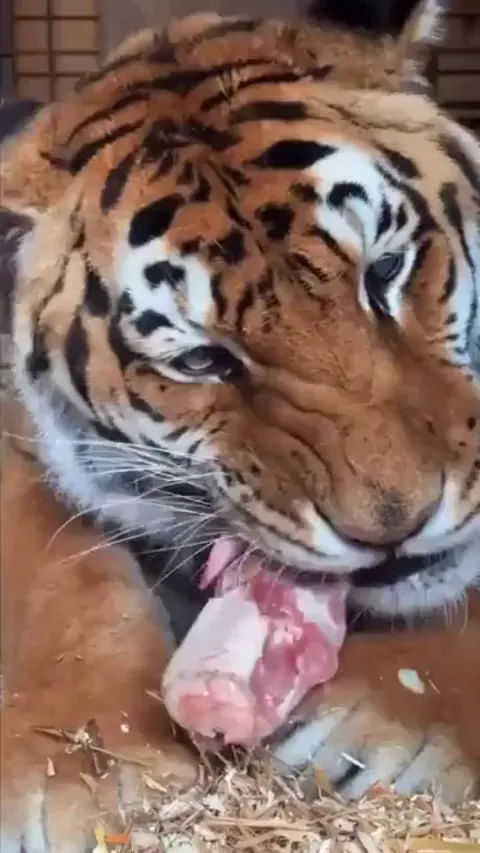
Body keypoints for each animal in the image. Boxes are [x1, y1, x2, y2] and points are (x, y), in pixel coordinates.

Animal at [1, 0, 480, 848]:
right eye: (202, 360)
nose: (398, 523)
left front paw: (384, 721)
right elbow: (59, 567)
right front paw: (76, 771)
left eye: (385, 273)